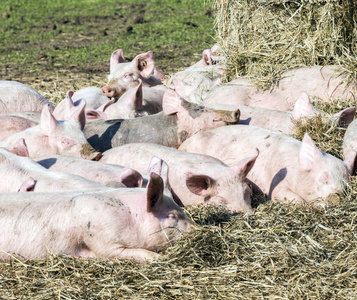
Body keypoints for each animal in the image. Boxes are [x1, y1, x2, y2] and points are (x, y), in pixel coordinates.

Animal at [0, 158, 192, 262]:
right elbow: (134, 252)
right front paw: (160, 259)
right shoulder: (102, 240)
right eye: (172, 215)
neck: (131, 218)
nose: (195, 228)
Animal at [179, 125, 352, 206]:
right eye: (323, 179)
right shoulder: (276, 182)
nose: (336, 197)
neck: (296, 170)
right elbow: (289, 197)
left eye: (346, 185)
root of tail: (183, 145)